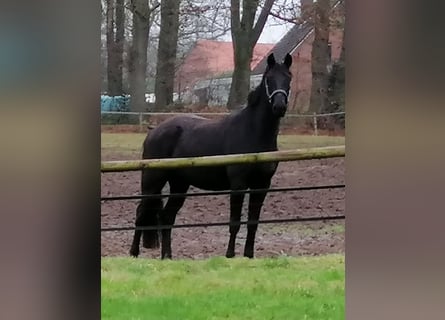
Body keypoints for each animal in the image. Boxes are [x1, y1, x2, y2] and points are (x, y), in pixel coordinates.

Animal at [130, 52, 294, 258]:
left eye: (288, 78)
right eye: (269, 79)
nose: (279, 106)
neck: (253, 132)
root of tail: (154, 131)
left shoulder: (262, 185)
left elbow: (253, 224)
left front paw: (249, 255)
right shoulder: (238, 185)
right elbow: (234, 223)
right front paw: (230, 255)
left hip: (179, 184)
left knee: (166, 216)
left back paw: (167, 257)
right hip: (153, 181)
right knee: (141, 212)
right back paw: (134, 253)